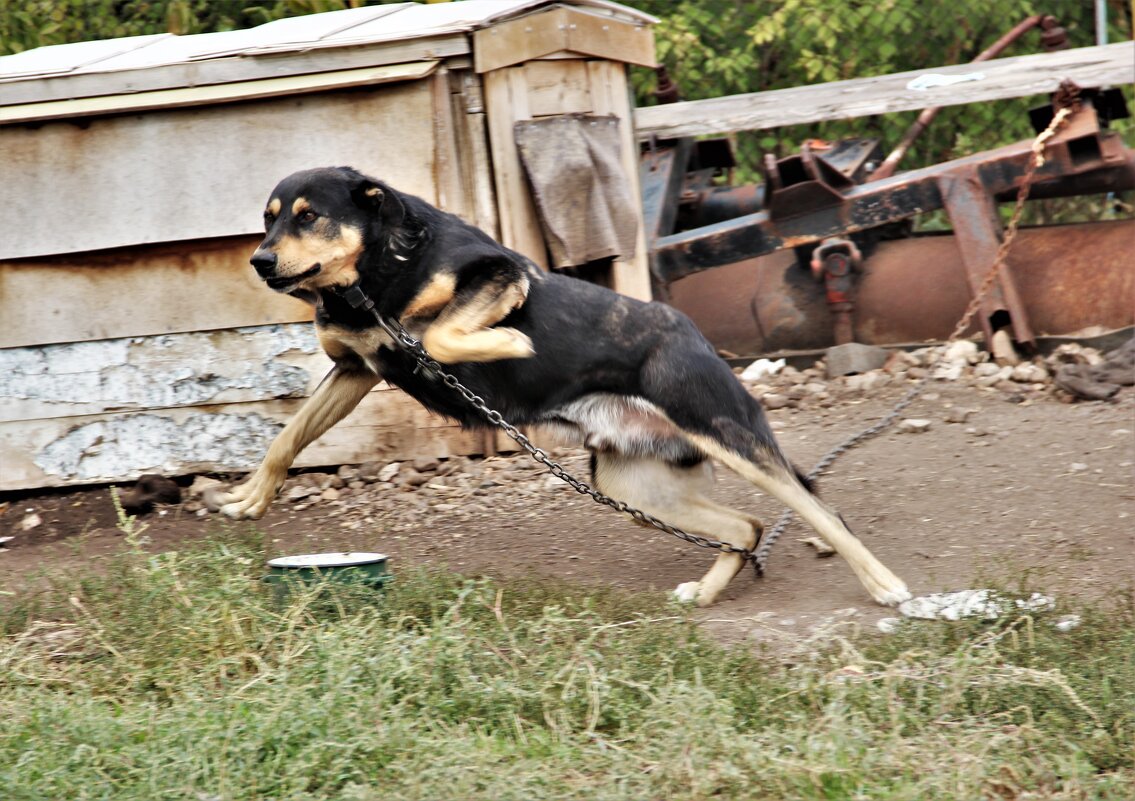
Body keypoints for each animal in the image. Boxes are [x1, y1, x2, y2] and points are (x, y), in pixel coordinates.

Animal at [214, 166, 912, 603]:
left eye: (309, 217)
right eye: (269, 221)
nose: (260, 261)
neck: (373, 277)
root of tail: (693, 336)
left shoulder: (500, 274)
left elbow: (439, 333)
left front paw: (512, 344)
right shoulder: (356, 369)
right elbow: (286, 436)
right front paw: (250, 497)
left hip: (727, 436)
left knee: (822, 513)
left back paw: (886, 587)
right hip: (630, 485)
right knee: (746, 527)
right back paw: (707, 593)